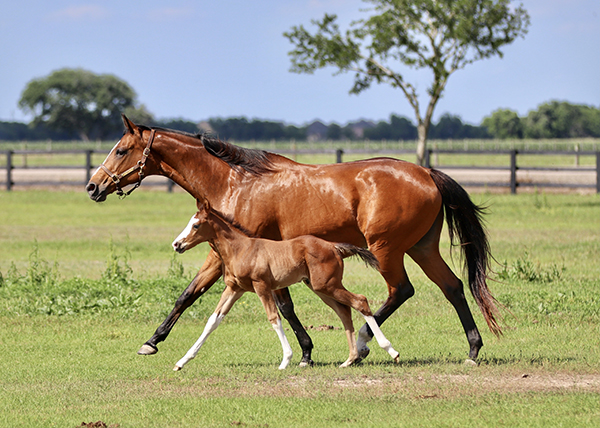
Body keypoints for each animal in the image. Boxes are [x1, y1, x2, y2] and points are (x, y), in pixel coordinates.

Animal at [171, 199, 400, 370]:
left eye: (196, 225)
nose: (176, 244)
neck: (241, 249)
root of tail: (335, 247)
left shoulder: (261, 286)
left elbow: (274, 318)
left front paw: (286, 359)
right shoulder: (235, 289)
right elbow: (213, 321)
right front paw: (181, 361)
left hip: (328, 286)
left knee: (360, 301)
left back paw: (391, 351)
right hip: (321, 288)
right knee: (344, 310)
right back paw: (350, 359)